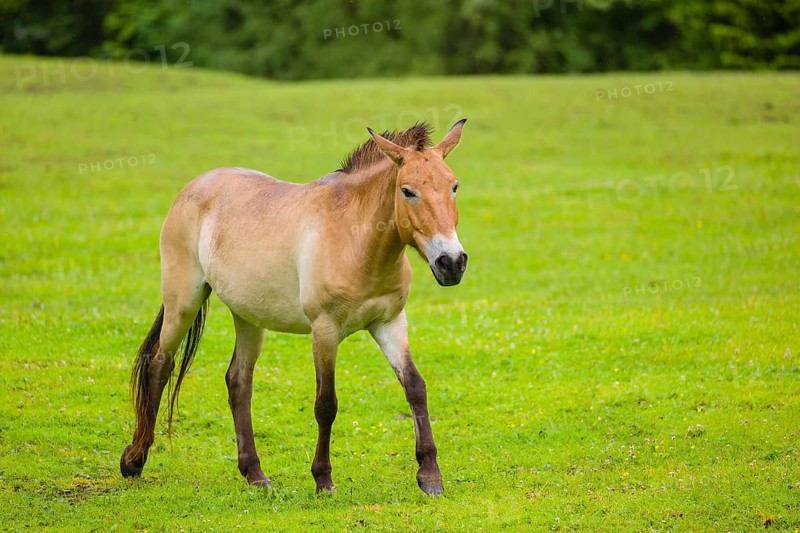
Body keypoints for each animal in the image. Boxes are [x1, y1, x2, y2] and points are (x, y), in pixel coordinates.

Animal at [119, 119, 469, 496]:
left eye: (454, 186)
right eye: (407, 191)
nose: (451, 263)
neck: (355, 241)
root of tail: (195, 186)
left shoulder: (389, 323)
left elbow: (415, 387)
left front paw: (430, 474)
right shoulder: (325, 330)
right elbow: (326, 404)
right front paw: (323, 479)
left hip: (248, 316)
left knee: (238, 382)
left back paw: (255, 474)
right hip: (182, 302)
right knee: (159, 365)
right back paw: (135, 459)